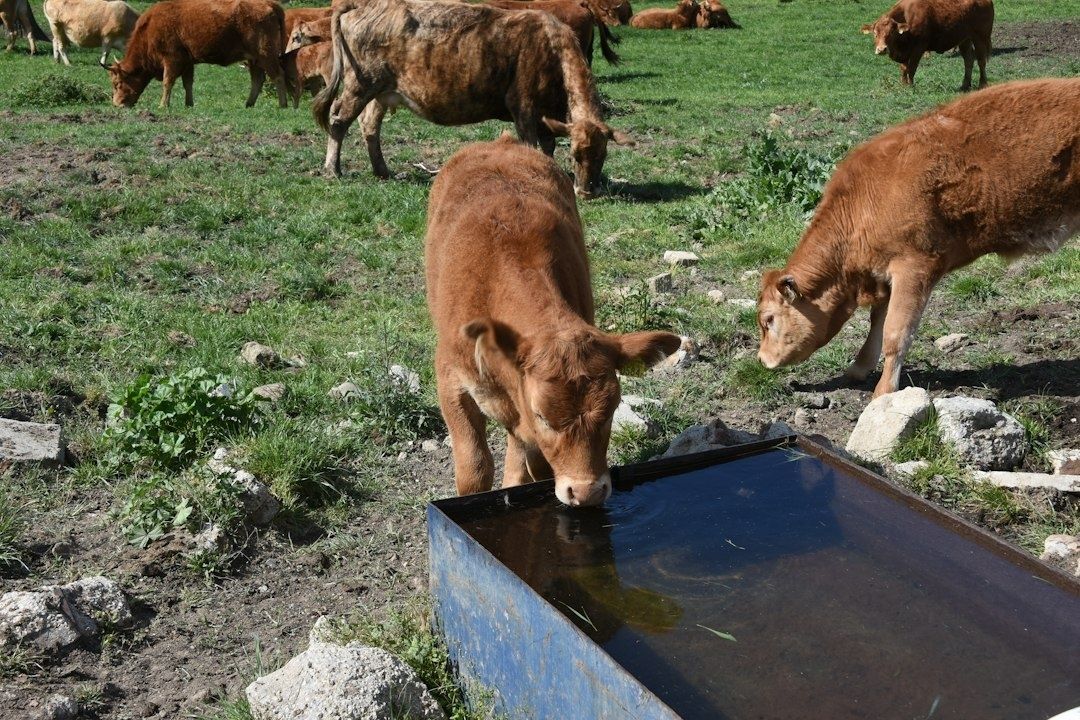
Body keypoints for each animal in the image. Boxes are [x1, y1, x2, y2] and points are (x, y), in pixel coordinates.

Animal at [103, 0, 289, 109]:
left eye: (117, 83)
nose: (117, 104)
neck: (150, 29)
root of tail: (270, 4)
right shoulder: (188, 62)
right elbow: (188, 83)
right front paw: (189, 104)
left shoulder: (171, 60)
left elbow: (168, 82)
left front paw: (163, 105)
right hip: (254, 59)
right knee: (258, 79)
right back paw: (248, 104)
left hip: (266, 55)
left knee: (278, 76)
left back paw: (283, 105)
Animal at [425, 134, 681, 506]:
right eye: (543, 415)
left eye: (612, 410)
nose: (587, 492)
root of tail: (500, 141)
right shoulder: (451, 380)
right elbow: (474, 467)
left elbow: (533, 466)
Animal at [756, 78, 1080, 397]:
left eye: (769, 319)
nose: (761, 360)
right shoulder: (884, 273)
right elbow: (877, 323)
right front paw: (859, 368)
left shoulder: (914, 266)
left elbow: (896, 332)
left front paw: (883, 393)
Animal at [861, 0, 993, 91]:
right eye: (875, 33)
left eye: (891, 33)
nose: (881, 49)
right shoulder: (905, 51)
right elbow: (904, 68)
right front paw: (903, 85)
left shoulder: (918, 48)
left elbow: (912, 68)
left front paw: (910, 86)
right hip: (964, 39)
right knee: (968, 61)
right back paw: (965, 85)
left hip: (981, 37)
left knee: (981, 61)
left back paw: (983, 84)